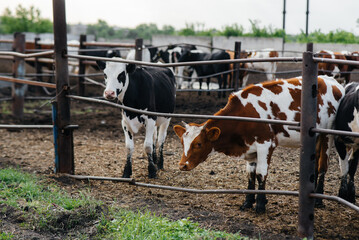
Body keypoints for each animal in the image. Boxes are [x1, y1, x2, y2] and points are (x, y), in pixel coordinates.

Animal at [174, 76, 346, 213]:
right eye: (182, 142)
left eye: (198, 144)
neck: (246, 115)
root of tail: (331, 81)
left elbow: (261, 174)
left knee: (322, 166)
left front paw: (260, 205)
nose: (182, 165)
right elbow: (250, 174)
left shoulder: (265, 145)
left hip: (327, 134)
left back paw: (319, 200)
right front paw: (248, 202)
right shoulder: (250, 149)